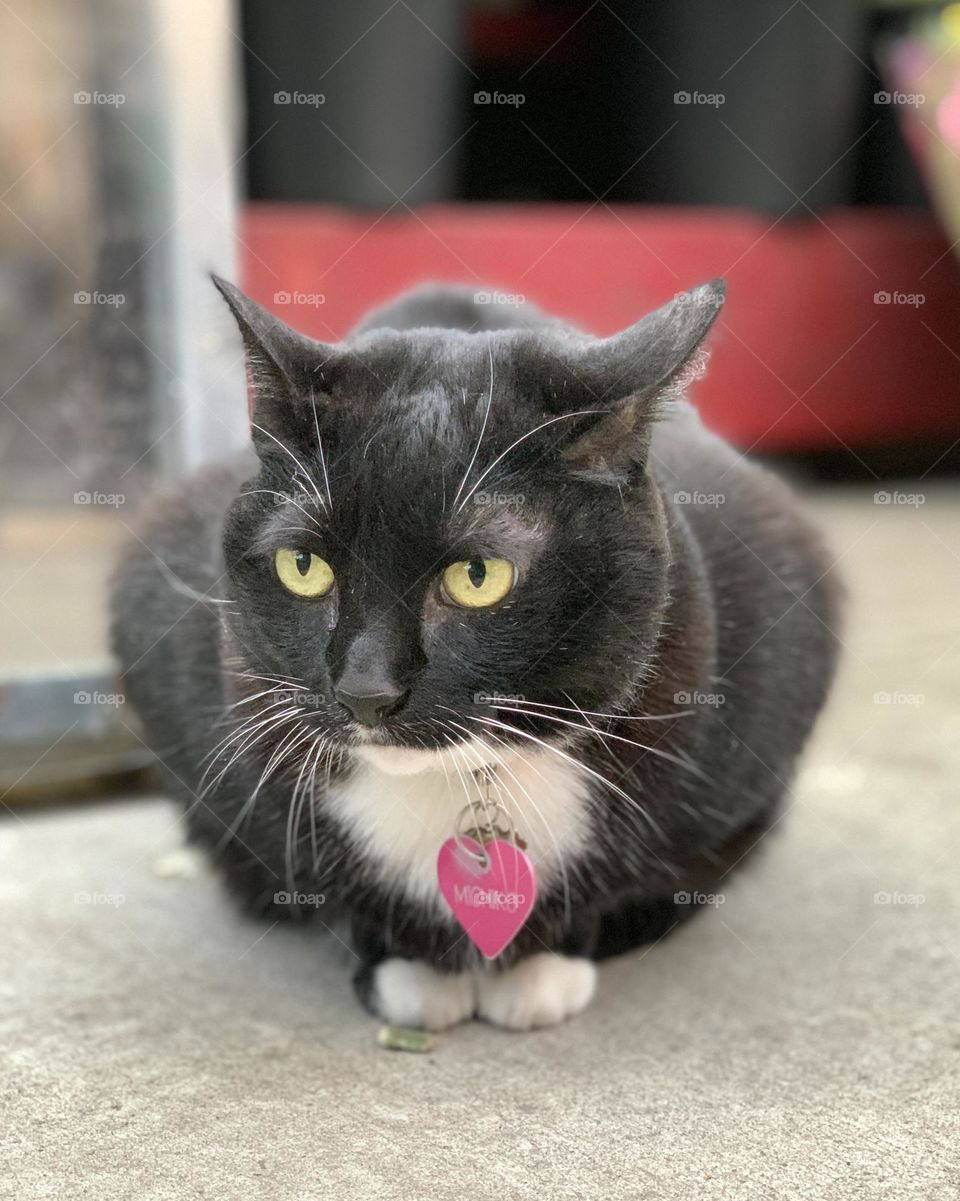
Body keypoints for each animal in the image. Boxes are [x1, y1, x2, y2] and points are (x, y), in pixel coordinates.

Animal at [108, 278, 836, 1032]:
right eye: (303, 566)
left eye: (478, 576)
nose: (365, 690)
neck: (458, 783)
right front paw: (406, 967)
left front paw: (545, 967)